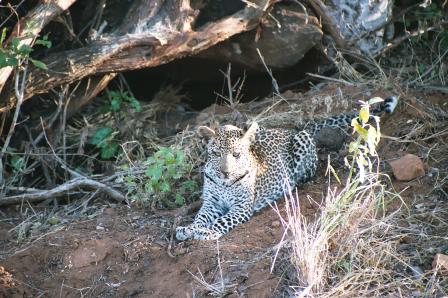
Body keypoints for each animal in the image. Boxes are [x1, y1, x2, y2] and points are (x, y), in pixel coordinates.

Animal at [176, 96, 400, 241]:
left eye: (236, 155)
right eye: (215, 154)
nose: (225, 172)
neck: (224, 184)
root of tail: (291, 130)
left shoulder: (241, 207)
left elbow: (222, 220)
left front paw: (207, 232)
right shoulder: (211, 203)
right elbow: (200, 217)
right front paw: (189, 228)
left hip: (303, 143)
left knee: (304, 176)